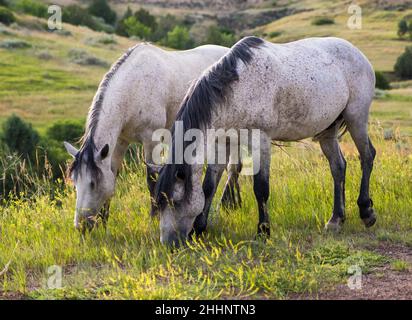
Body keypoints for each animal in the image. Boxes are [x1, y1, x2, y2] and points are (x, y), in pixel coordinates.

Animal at [63, 42, 245, 231]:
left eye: (92, 183)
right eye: (75, 182)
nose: (81, 226)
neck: (134, 87)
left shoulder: (151, 138)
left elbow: (151, 179)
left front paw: (154, 218)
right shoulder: (120, 142)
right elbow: (112, 175)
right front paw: (104, 221)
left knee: (233, 167)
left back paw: (227, 203)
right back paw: (232, 204)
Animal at [154, 36, 376, 246]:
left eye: (175, 201)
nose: (168, 243)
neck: (236, 90)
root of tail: (357, 53)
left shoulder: (260, 141)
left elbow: (260, 188)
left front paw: (263, 231)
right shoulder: (222, 142)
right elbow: (209, 185)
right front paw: (199, 229)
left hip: (356, 117)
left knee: (367, 155)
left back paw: (366, 211)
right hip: (327, 131)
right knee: (338, 167)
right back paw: (336, 220)